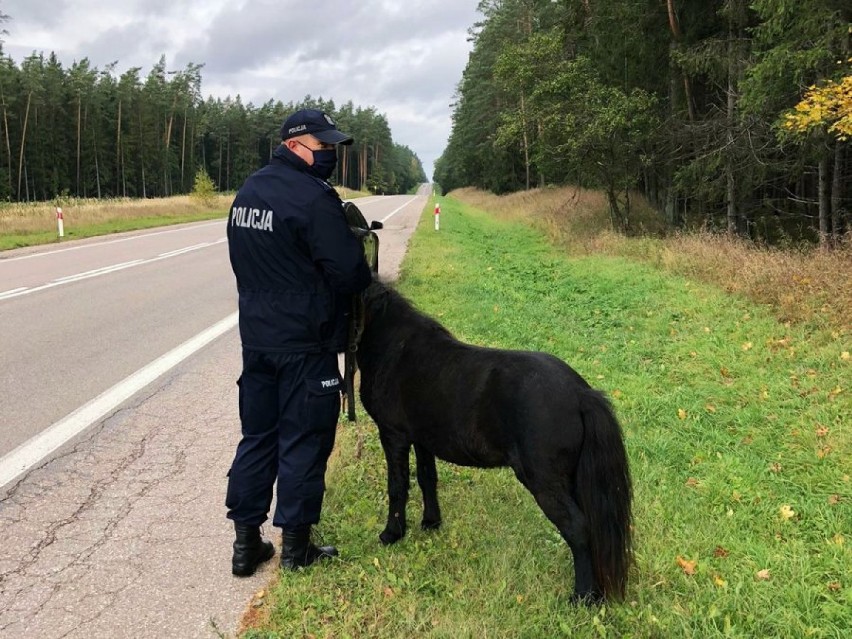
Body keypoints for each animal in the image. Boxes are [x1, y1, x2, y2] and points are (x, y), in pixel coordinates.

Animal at [354, 282, 632, 604]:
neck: (395, 348)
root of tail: (581, 394)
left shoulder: (393, 435)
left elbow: (397, 486)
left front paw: (392, 534)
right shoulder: (422, 440)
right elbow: (427, 478)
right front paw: (431, 523)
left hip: (544, 481)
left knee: (577, 528)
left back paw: (582, 597)